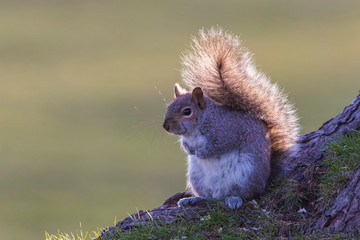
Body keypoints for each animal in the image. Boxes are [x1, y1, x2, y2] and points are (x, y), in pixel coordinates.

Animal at [162, 27, 298, 208]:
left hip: (246, 175)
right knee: (210, 196)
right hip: (197, 178)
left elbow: (218, 146)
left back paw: (233, 198)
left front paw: (202, 152)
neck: (198, 127)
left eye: (187, 111)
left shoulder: (227, 132)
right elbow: (186, 144)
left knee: (245, 194)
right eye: (169, 106)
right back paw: (194, 199)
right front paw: (188, 149)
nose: (166, 126)